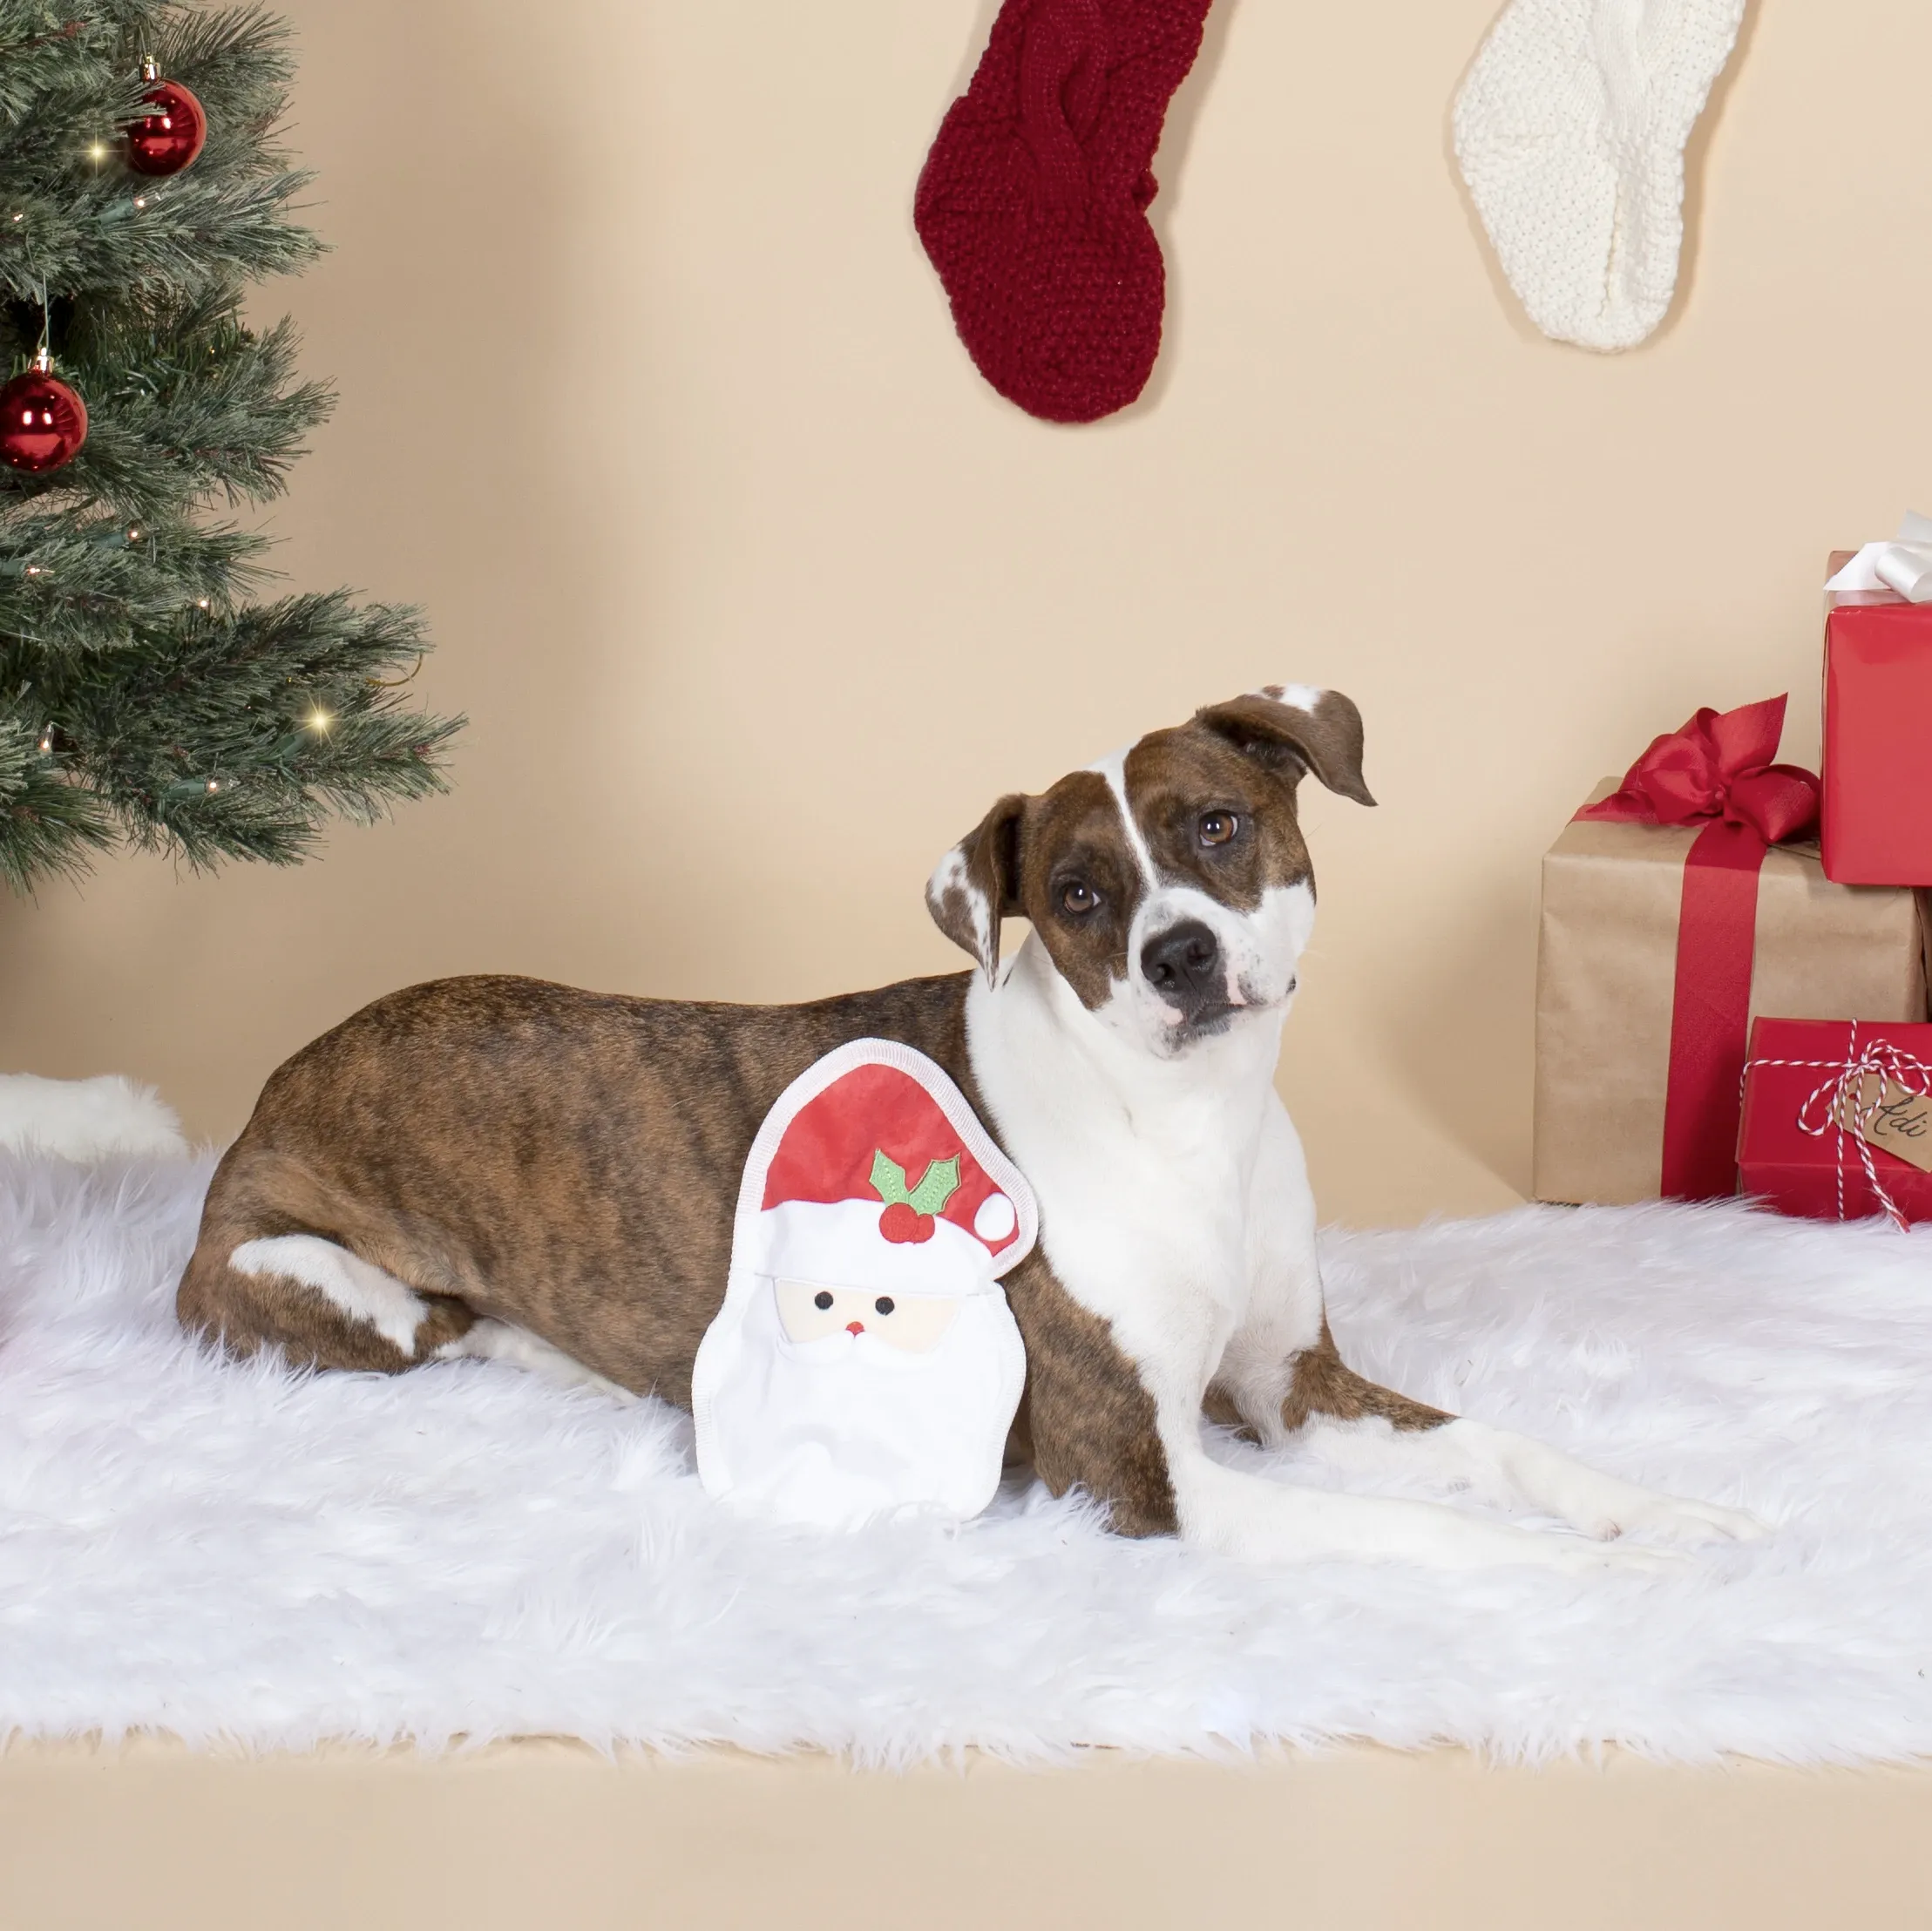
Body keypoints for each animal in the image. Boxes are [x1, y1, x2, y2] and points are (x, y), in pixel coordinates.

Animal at [181, 691, 1769, 1568]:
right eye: (1073, 894)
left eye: (1214, 825)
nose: (1179, 956)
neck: (1186, 1122)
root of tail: (276, 1082)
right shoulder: (1146, 1478)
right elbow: (1430, 1536)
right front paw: (1600, 1589)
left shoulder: (1294, 1388)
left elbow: (1501, 1453)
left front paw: (1658, 1517)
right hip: (327, 1290)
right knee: (434, 1331)